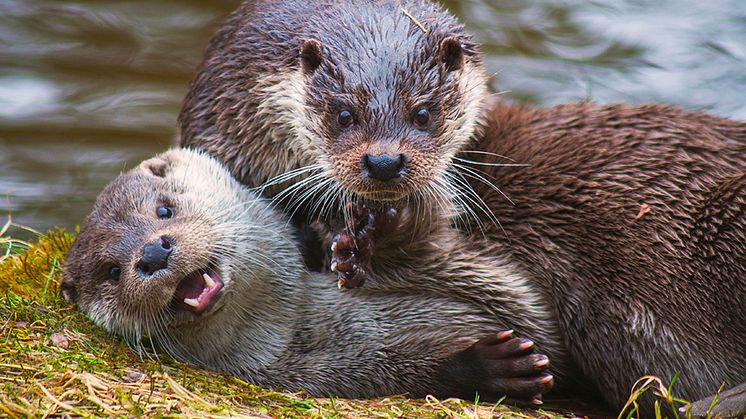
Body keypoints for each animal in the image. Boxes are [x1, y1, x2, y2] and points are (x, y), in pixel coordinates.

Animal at [61, 149, 556, 406]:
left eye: (163, 209)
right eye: (111, 271)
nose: (150, 253)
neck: (308, 321)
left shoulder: (480, 284)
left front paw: (372, 232)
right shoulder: (292, 375)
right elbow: (393, 372)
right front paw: (490, 366)